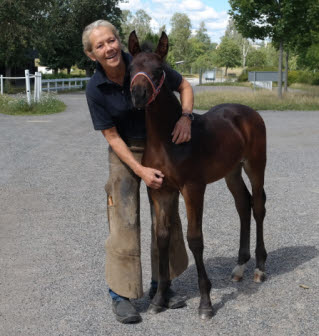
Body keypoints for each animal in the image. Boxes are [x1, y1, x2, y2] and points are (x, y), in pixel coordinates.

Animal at [129, 31, 268, 320]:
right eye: (131, 68)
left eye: (159, 70)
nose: (138, 95)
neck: (166, 140)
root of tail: (250, 112)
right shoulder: (159, 189)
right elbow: (162, 237)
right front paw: (158, 299)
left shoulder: (193, 188)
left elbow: (195, 239)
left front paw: (206, 302)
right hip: (232, 171)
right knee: (243, 204)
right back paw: (240, 266)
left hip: (255, 164)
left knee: (259, 205)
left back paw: (260, 267)